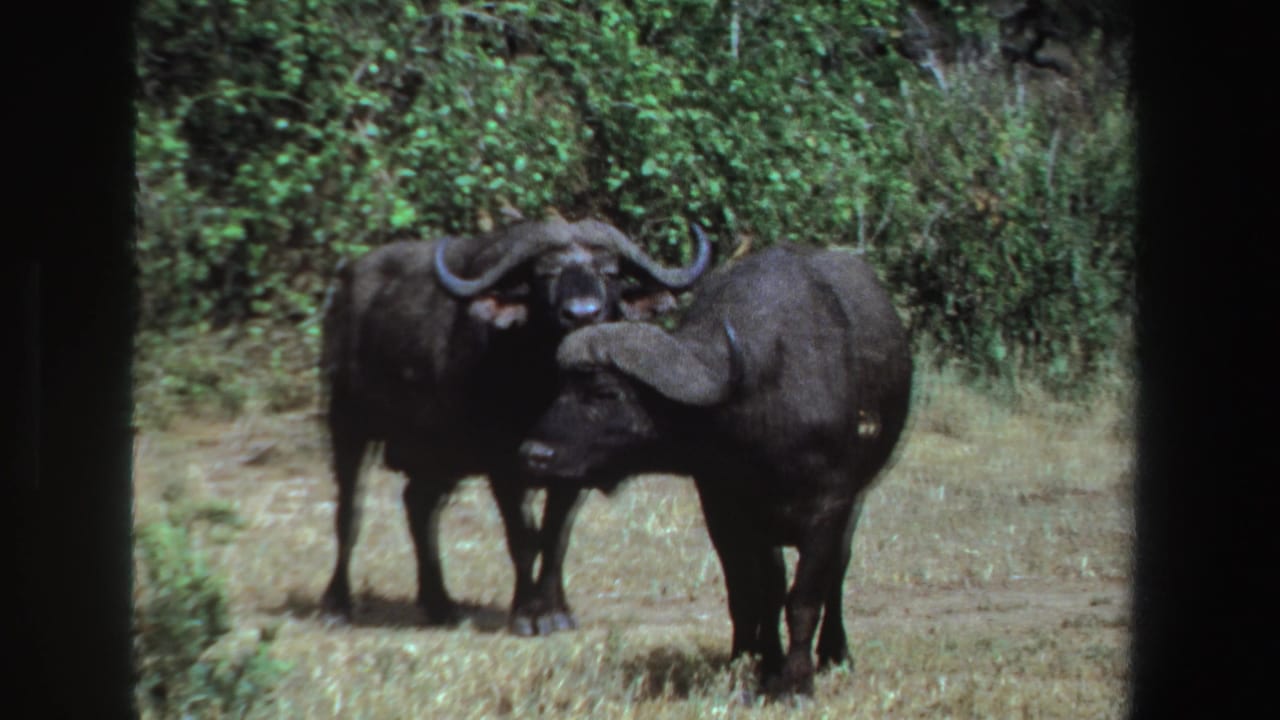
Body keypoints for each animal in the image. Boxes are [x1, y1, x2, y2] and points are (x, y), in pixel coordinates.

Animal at [320, 217, 711, 635]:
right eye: (546, 274)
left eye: (609, 272)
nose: (583, 313)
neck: (544, 385)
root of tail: (345, 285)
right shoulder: (503, 464)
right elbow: (523, 537)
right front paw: (526, 613)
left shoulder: (573, 466)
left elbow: (556, 538)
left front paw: (556, 610)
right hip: (348, 423)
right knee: (350, 512)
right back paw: (337, 604)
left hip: (439, 454)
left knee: (419, 505)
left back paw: (442, 604)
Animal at [519, 245, 913, 693]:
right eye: (562, 388)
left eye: (606, 392)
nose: (534, 453)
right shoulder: (724, 511)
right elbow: (749, 595)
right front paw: (756, 664)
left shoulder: (829, 508)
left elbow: (804, 597)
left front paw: (795, 681)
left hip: (859, 498)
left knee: (838, 571)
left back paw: (835, 652)